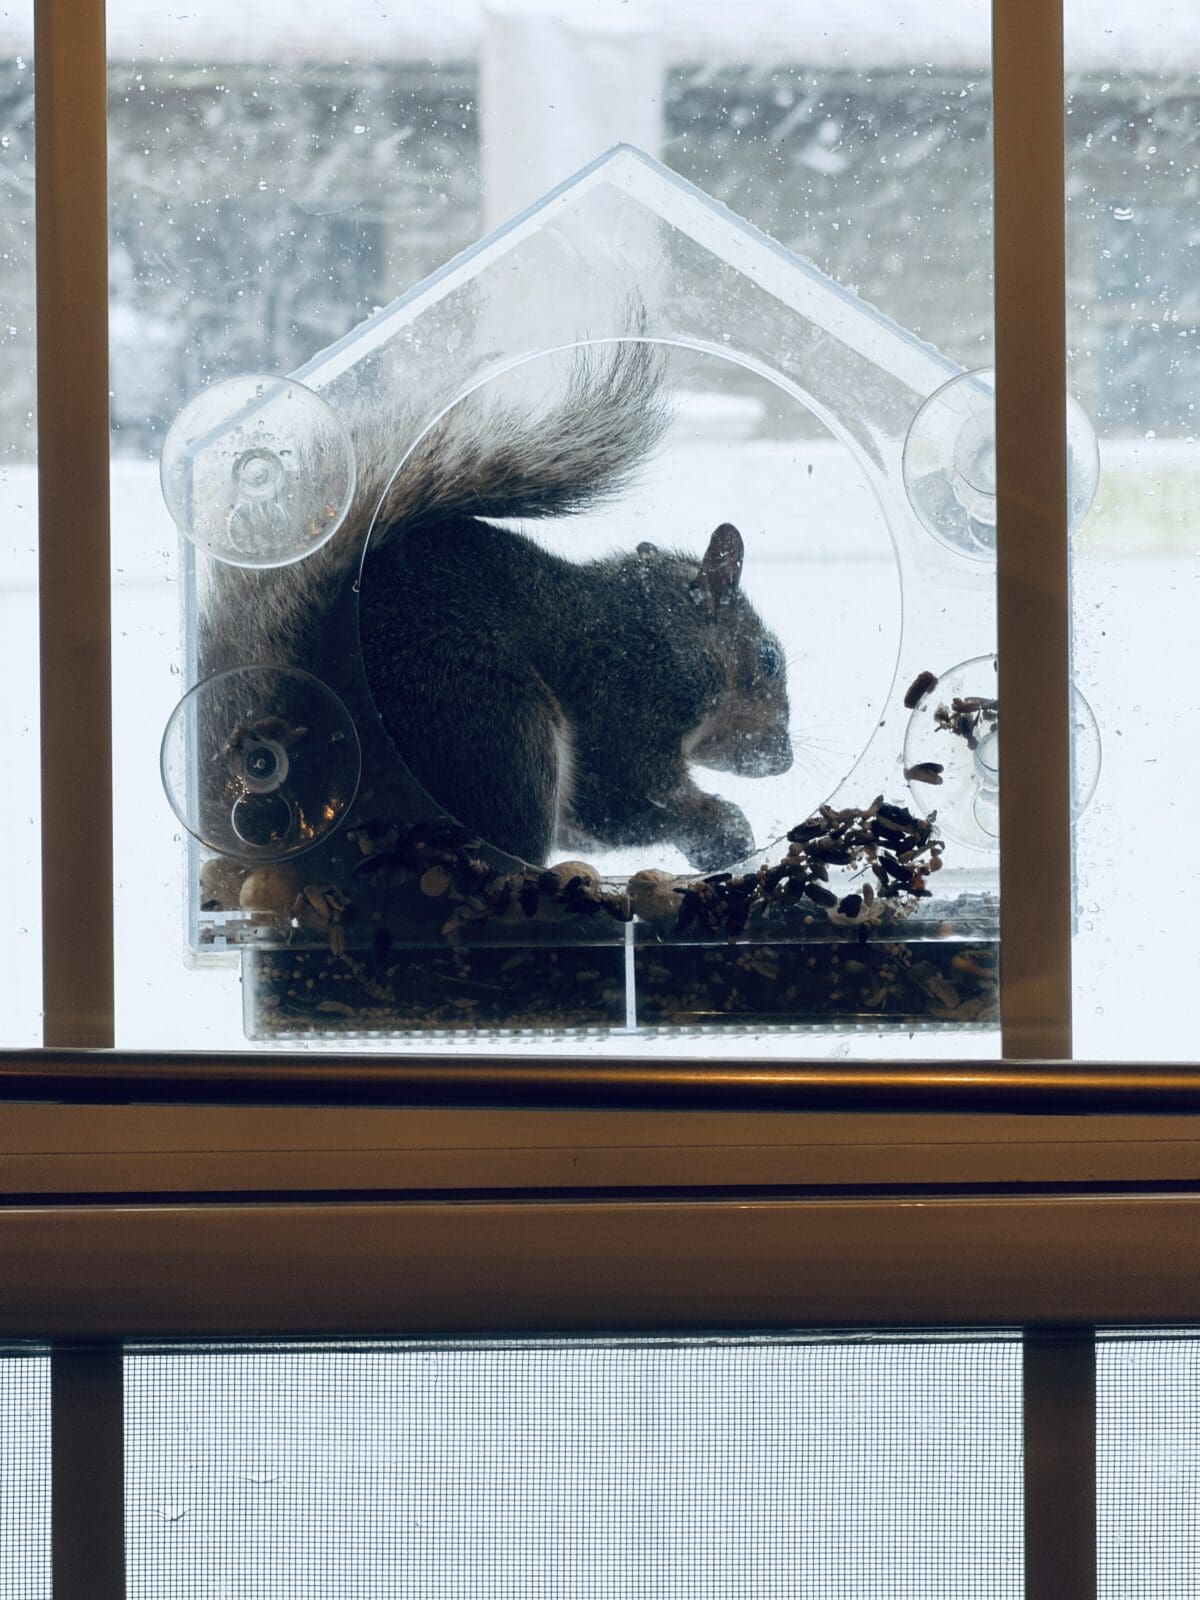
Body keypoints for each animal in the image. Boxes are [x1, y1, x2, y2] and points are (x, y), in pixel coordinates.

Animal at [201, 341, 792, 875]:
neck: (663, 627)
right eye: (768, 659)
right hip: (502, 729)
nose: (784, 760)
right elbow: (634, 796)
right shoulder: (631, 699)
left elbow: (601, 820)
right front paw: (722, 824)